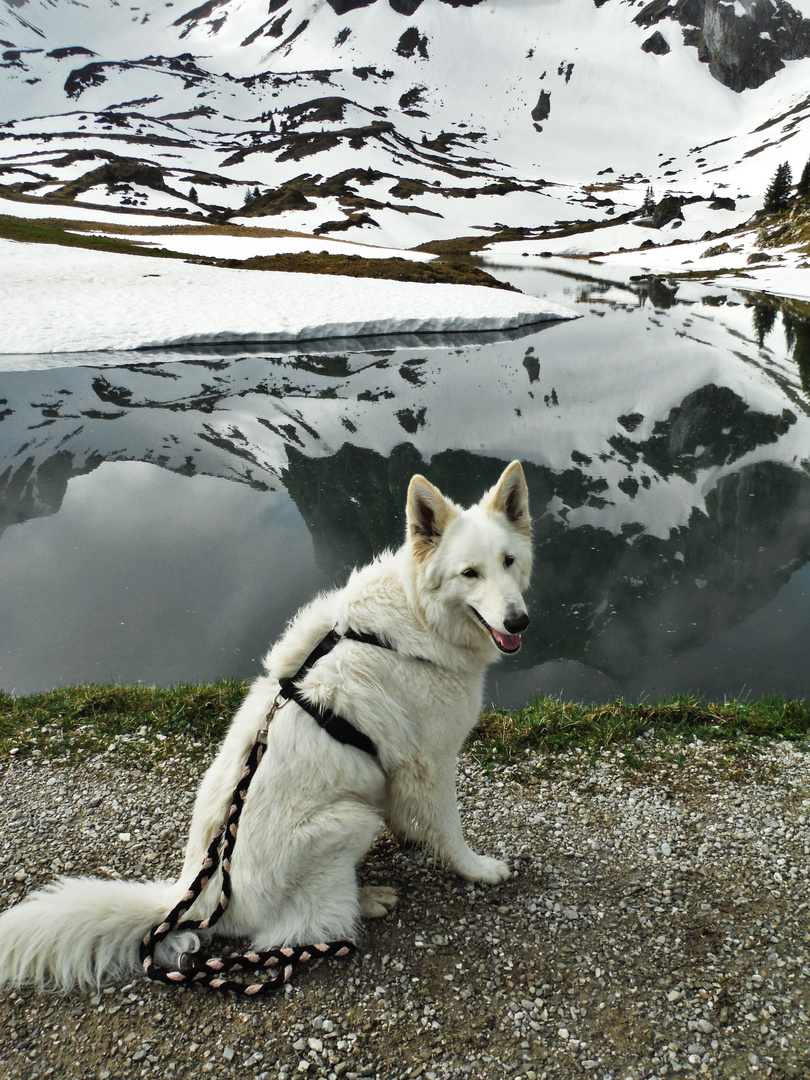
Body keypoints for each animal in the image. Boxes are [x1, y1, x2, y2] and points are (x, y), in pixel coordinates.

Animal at [0, 460, 533, 989]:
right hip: (351, 820)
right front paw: (478, 869)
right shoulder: (431, 763)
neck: (418, 618)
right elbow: (450, 830)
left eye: (508, 561)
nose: (519, 621)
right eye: (469, 573)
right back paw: (366, 899)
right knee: (297, 929)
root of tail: (196, 894)